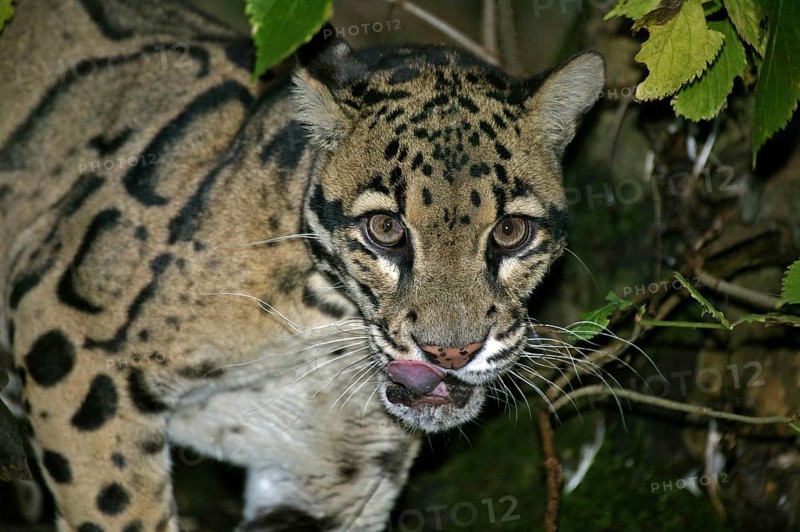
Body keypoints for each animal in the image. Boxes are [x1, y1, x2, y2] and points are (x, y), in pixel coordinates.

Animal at [0, 0, 604, 530]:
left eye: (510, 232)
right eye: (385, 229)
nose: (450, 352)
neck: (321, 327)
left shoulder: (329, 474)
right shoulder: (69, 336)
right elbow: (117, 508)